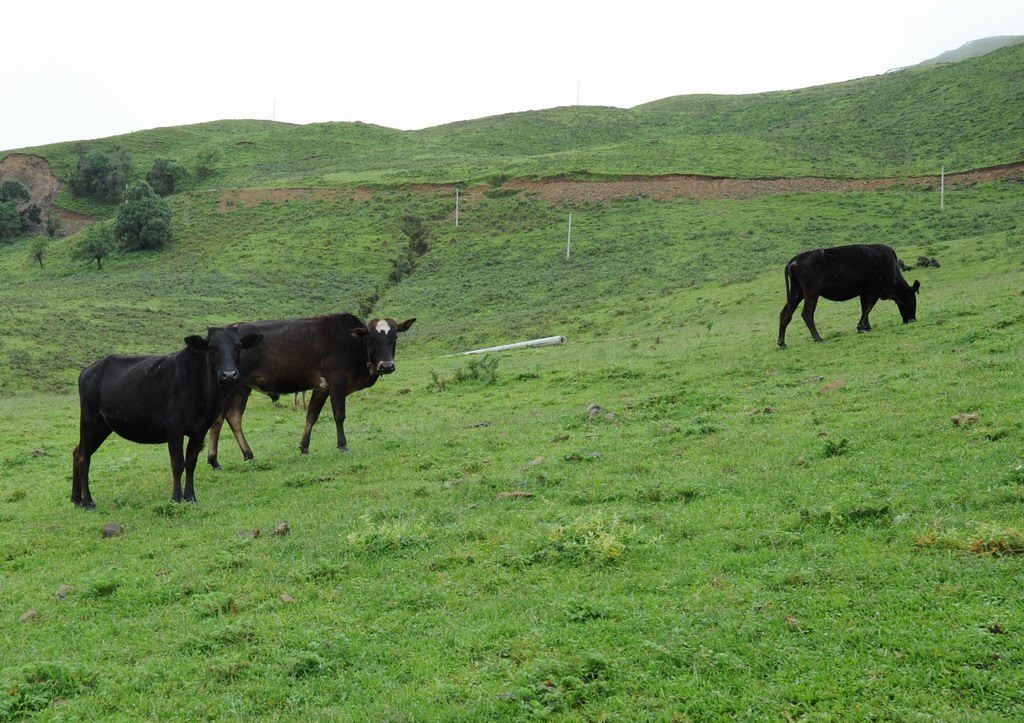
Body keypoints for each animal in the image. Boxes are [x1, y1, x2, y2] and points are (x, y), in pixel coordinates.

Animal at [73, 327, 264, 507]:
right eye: (212, 347)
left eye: (238, 346)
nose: (229, 375)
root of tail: (88, 370)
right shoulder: (174, 428)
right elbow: (177, 463)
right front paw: (176, 498)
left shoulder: (199, 431)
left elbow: (191, 463)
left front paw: (191, 497)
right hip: (91, 421)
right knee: (83, 457)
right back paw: (88, 502)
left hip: (102, 426)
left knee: (76, 452)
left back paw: (76, 500)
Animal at [205, 311, 413, 466]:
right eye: (372, 338)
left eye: (394, 337)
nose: (387, 366)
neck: (353, 344)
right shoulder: (337, 382)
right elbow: (339, 415)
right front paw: (342, 445)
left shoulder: (322, 388)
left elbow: (312, 415)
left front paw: (304, 447)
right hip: (230, 387)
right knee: (218, 420)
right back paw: (214, 460)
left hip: (242, 388)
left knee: (234, 418)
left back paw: (248, 454)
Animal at [774, 243, 921, 348]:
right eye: (912, 300)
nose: (912, 319)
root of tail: (795, 259)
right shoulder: (875, 289)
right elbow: (868, 307)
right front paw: (861, 327)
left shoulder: (864, 291)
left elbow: (864, 308)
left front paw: (867, 327)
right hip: (812, 293)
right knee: (807, 314)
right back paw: (818, 338)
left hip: (797, 292)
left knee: (785, 314)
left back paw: (782, 343)